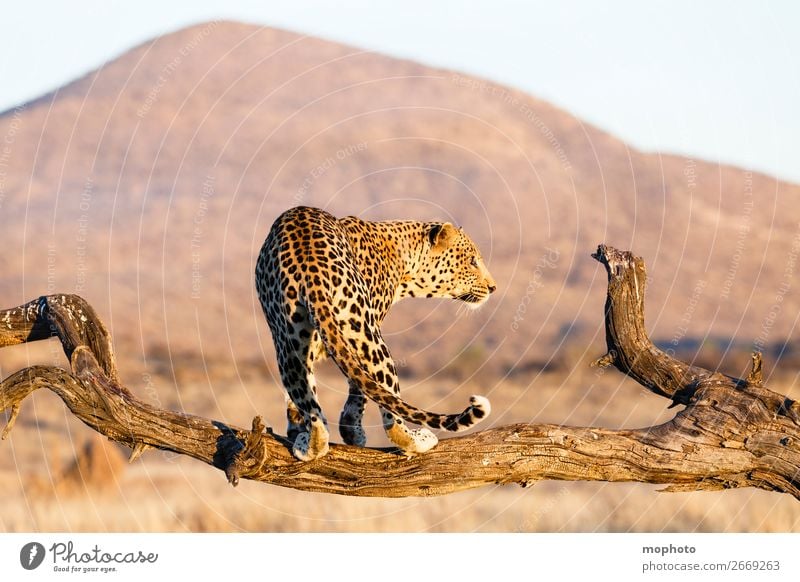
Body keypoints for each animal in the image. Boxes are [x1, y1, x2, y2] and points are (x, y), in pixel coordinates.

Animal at [253, 205, 496, 460]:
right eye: (472, 261)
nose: (493, 287)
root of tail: (311, 270)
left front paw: (299, 428)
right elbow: (361, 390)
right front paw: (352, 432)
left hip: (289, 343)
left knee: (311, 409)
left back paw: (309, 444)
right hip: (367, 334)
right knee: (392, 413)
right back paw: (418, 440)